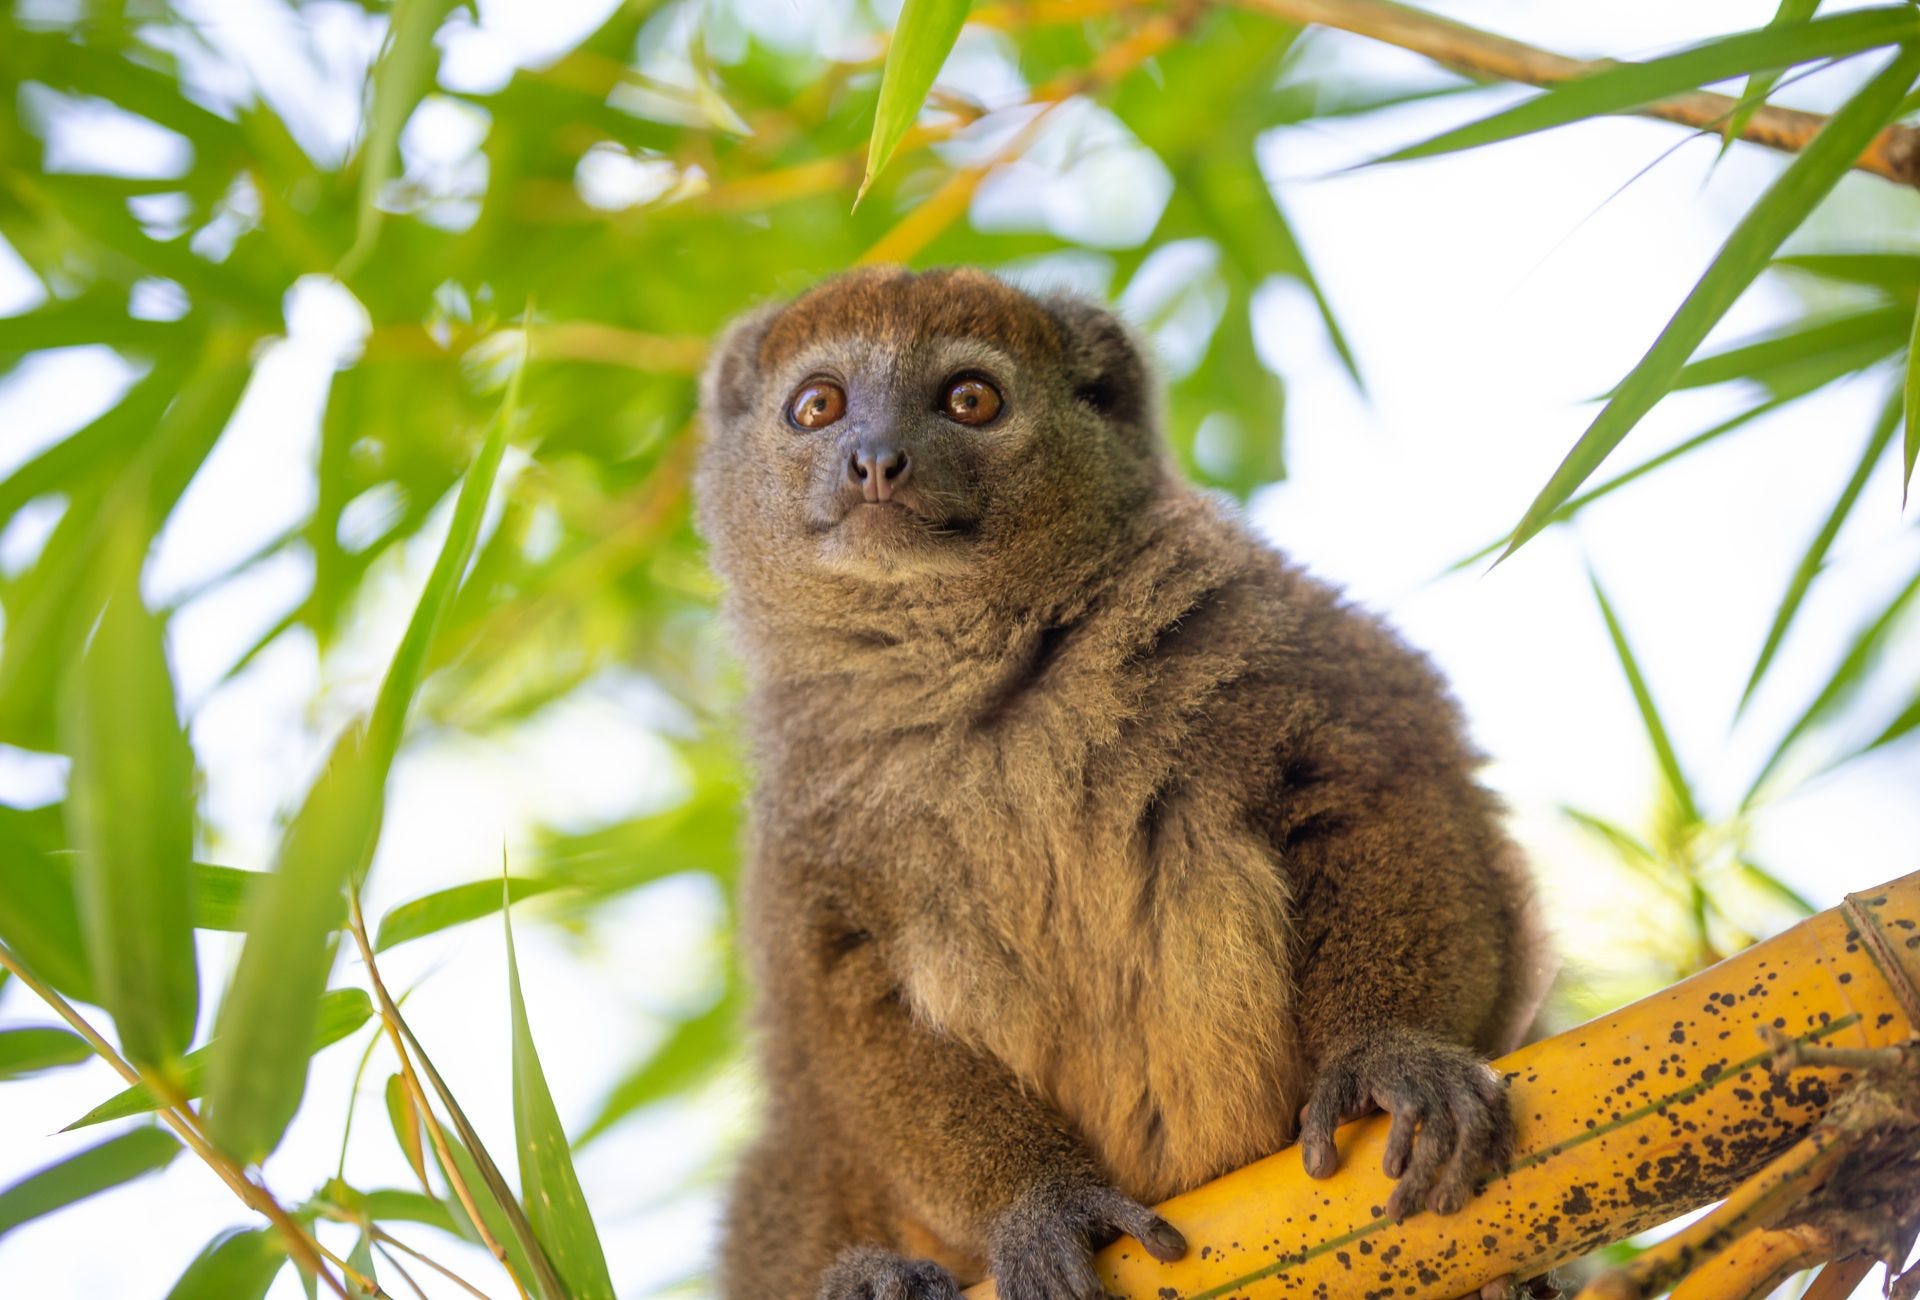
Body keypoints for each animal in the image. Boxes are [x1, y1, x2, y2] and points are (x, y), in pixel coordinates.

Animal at [694, 266, 1552, 1300]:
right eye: (817, 406)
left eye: (970, 400)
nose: (876, 461)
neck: (976, 670)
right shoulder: (805, 825)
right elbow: (845, 1002)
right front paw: (1038, 1202)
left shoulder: (1266, 626)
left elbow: (1382, 778)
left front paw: (1394, 1052)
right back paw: (874, 1279)